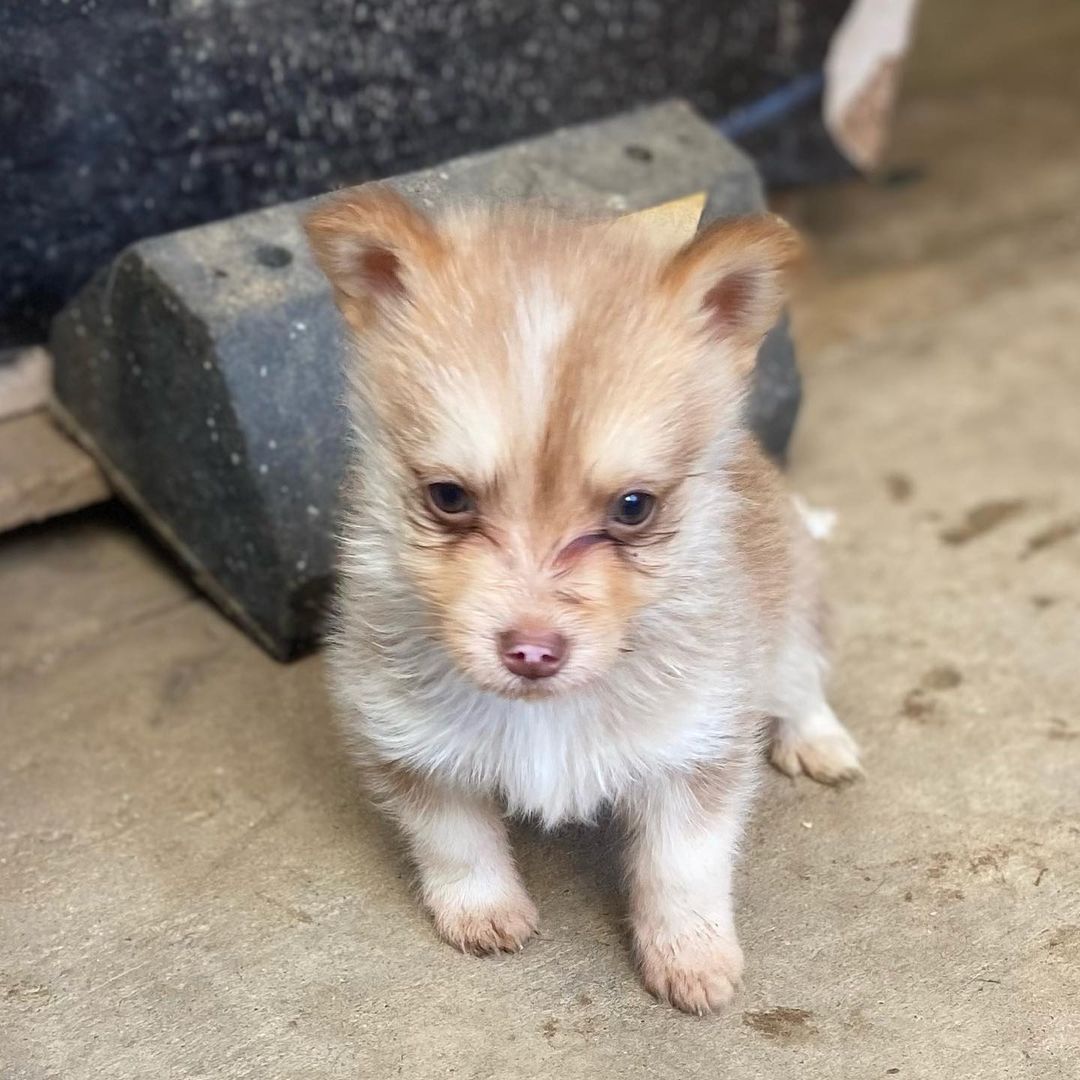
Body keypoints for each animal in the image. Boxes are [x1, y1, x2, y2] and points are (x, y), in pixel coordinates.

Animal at [304, 190, 859, 1015]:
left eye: (633, 507)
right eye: (448, 497)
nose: (532, 651)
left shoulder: (697, 748)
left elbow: (683, 866)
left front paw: (690, 955)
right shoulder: (411, 742)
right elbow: (454, 839)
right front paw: (481, 909)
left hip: (784, 627)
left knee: (803, 681)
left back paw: (818, 741)